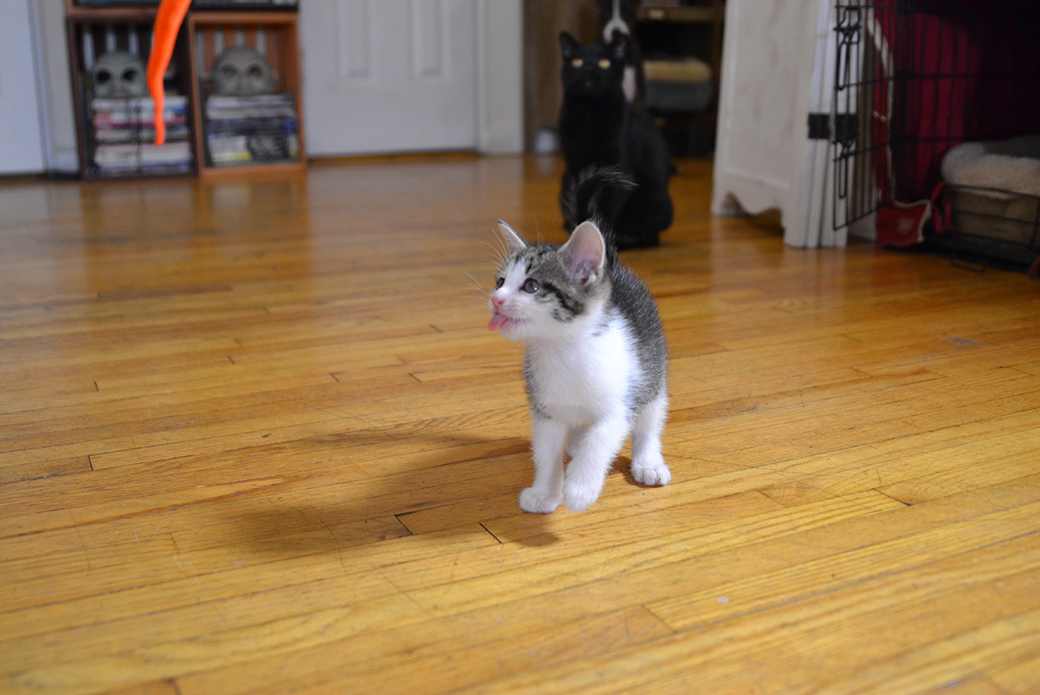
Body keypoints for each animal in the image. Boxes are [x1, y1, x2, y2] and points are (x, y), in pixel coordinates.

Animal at [484, 166, 665, 513]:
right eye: (500, 282)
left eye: (531, 286)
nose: (496, 299)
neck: (561, 350)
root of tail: (612, 267)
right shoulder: (545, 410)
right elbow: (546, 452)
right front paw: (544, 492)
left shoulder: (619, 406)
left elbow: (601, 439)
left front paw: (580, 488)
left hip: (652, 372)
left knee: (650, 420)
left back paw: (648, 462)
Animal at [557, 31, 669, 252]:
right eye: (577, 62)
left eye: (604, 63)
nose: (589, 67)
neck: (589, 115)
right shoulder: (575, 167)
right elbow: (581, 202)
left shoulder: (619, 166)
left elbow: (606, 209)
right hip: (564, 182)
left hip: (660, 207)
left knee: (647, 236)